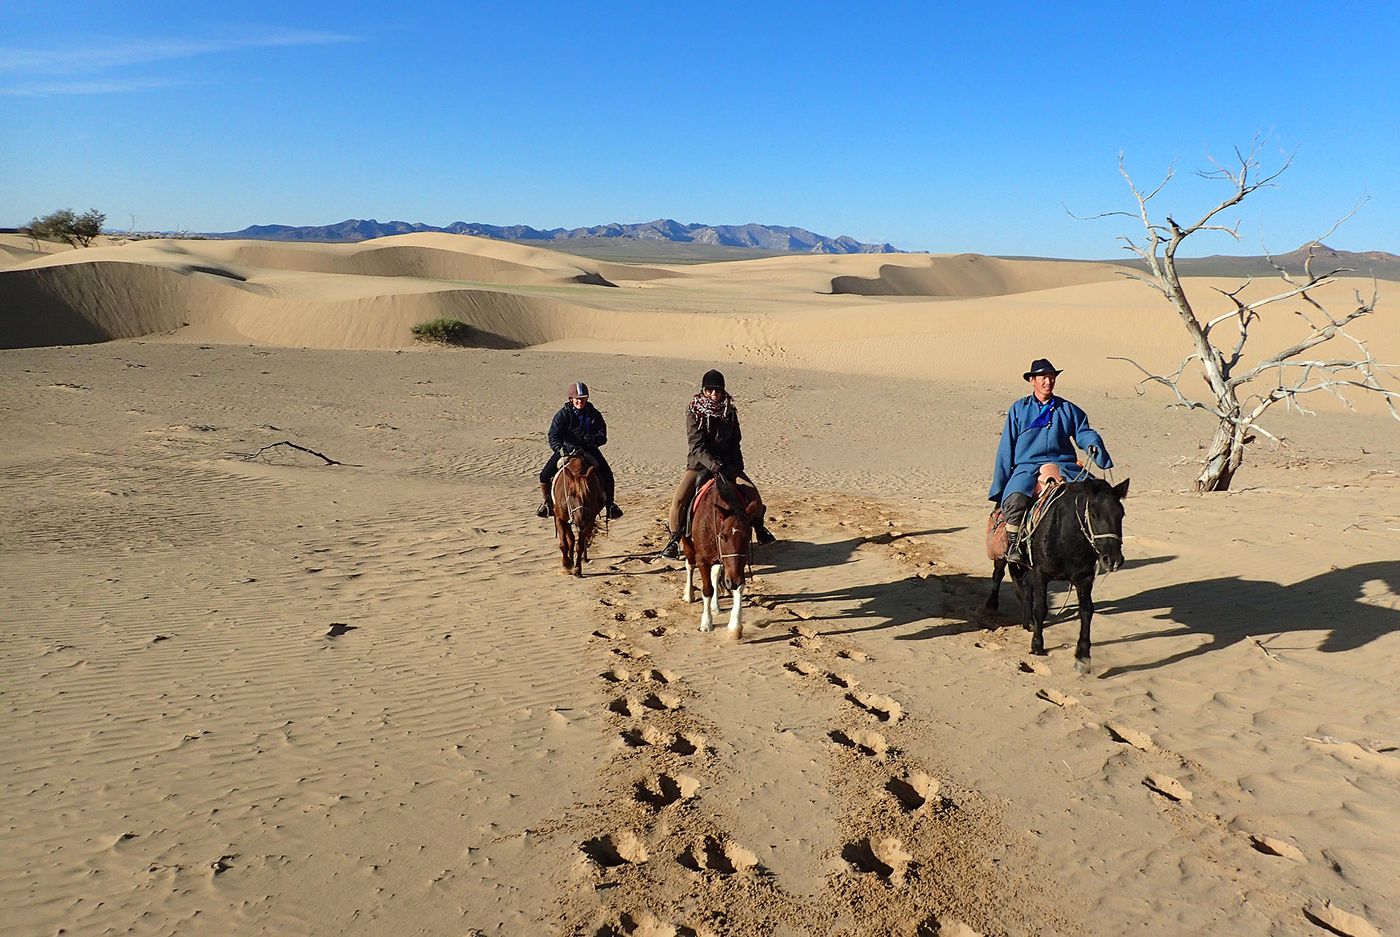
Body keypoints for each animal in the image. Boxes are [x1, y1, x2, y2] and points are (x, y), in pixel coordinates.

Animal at [677, 467, 756, 635]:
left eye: (747, 537)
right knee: (690, 565)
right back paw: (689, 594)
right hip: (688, 544)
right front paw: (706, 623)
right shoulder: (702, 560)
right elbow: (707, 590)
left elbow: (739, 587)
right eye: (723, 536)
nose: (732, 581)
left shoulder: (738, 563)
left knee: (715, 573)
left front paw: (735, 627)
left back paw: (716, 606)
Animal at [991, 476, 1131, 672]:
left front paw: (1083, 656)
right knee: (998, 575)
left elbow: (1087, 611)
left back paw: (1028, 622)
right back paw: (991, 605)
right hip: (1003, 556)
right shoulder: (1041, 574)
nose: (1113, 560)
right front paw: (1037, 646)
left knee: (1025, 587)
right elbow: (1041, 609)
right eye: (1093, 514)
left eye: (1121, 515)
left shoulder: (1084, 579)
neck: (1066, 535)